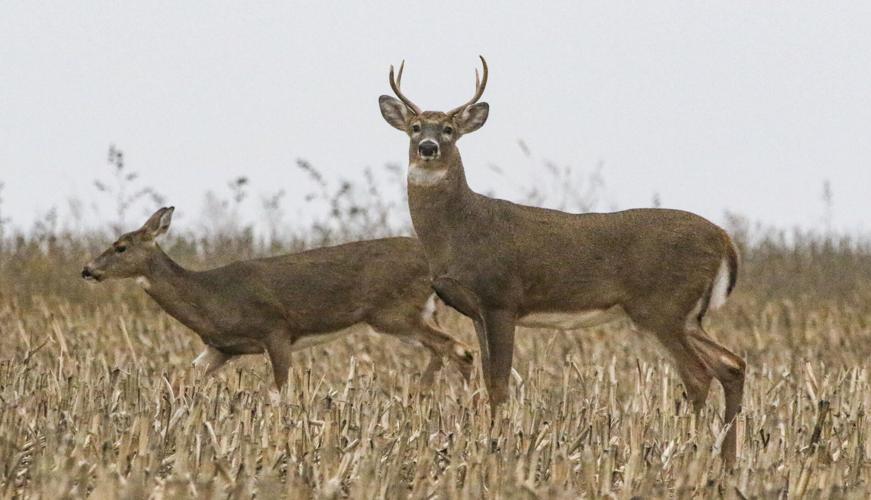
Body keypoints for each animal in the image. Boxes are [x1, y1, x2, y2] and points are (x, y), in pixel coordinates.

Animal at [82, 207, 474, 390]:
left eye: (121, 246)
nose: (87, 269)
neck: (208, 295)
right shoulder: (220, 347)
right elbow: (182, 378)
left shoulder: (276, 329)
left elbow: (280, 387)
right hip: (416, 312)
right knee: (448, 349)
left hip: (394, 312)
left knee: (457, 348)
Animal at [378, 56, 746, 465]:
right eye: (414, 128)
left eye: (449, 129)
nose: (427, 147)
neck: (459, 231)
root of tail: (725, 239)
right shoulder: (476, 311)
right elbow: (488, 379)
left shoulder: (501, 299)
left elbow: (500, 383)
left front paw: (497, 445)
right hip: (689, 315)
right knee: (732, 365)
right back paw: (728, 459)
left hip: (662, 306)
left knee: (698, 374)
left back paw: (690, 455)